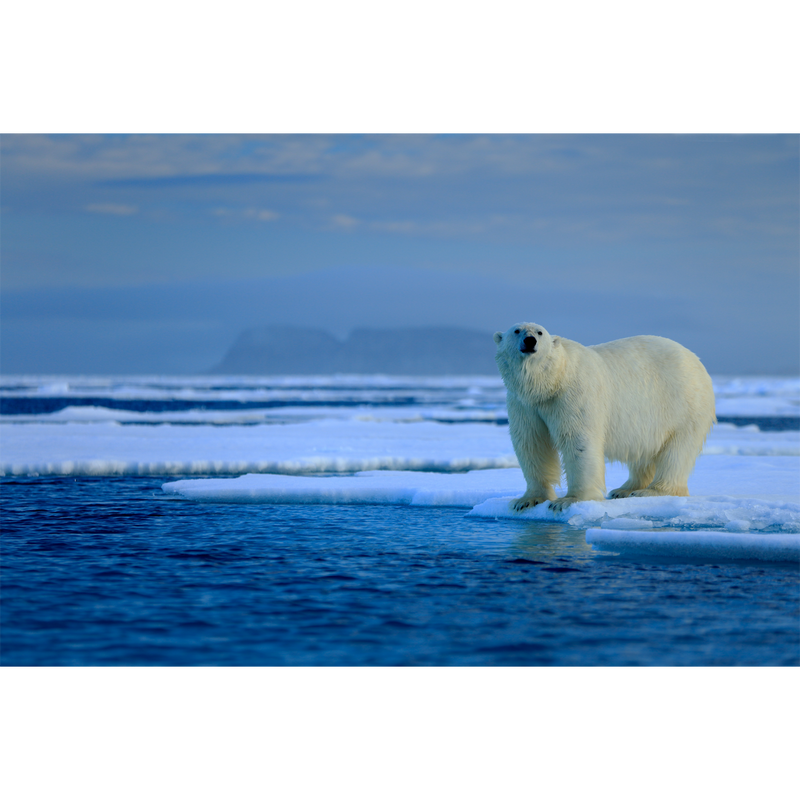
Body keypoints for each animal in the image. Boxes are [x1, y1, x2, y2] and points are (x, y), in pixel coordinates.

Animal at [493, 323, 716, 513]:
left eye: (540, 332)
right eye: (517, 330)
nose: (530, 341)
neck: (552, 381)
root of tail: (696, 361)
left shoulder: (574, 393)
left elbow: (578, 441)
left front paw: (568, 501)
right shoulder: (524, 404)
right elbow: (532, 443)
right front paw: (527, 500)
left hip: (684, 405)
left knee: (677, 452)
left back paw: (652, 491)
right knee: (644, 452)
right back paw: (624, 489)